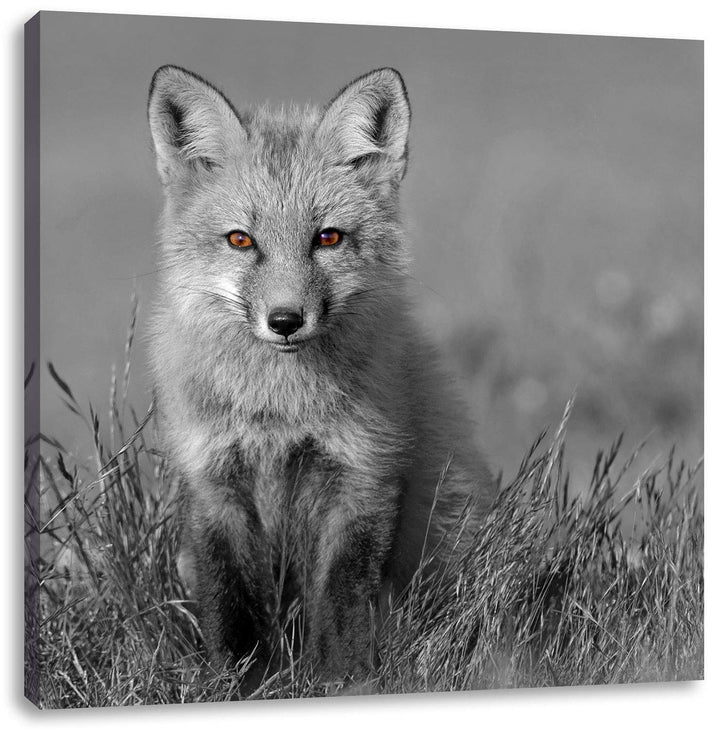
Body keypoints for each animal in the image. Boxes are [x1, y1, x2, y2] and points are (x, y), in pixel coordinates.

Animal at [146, 65, 495, 683]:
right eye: (241, 240)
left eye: (327, 237)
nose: (285, 321)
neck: (279, 410)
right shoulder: (213, 481)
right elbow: (230, 603)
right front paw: (240, 684)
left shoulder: (363, 474)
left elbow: (340, 599)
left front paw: (342, 681)